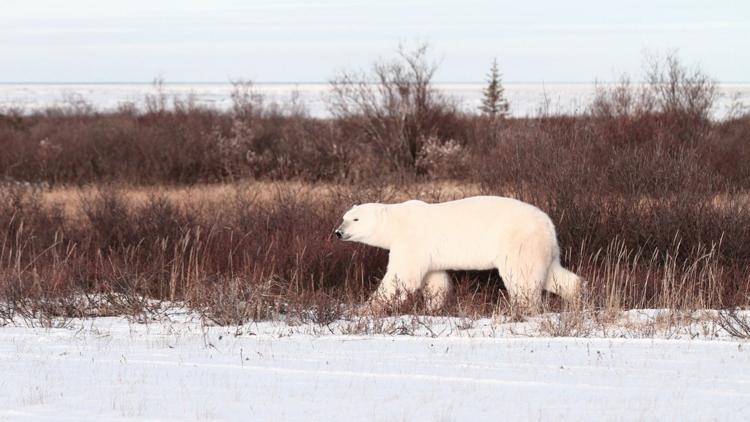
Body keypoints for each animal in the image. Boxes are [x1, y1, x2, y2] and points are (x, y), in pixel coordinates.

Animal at [334, 196, 580, 312]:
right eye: (344, 217)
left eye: (355, 219)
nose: (338, 232)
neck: (396, 222)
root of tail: (548, 224)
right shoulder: (430, 255)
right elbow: (436, 280)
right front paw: (433, 308)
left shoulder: (412, 241)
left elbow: (401, 277)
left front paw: (366, 308)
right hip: (543, 249)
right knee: (553, 274)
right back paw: (577, 295)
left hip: (519, 242)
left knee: (522, 277)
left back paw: (522, 309)